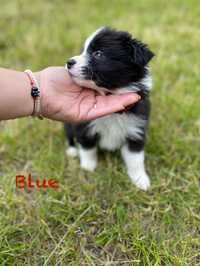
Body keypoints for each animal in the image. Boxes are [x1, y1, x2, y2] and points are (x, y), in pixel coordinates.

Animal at [64, 27, 155, 190]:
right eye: (82, 51)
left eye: (98, 54)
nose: (69, 62)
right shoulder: (84, 125)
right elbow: (88, 148)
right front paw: (88, 168)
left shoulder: (136, 130)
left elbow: (136, 159)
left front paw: (140, 180)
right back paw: (72, 150)